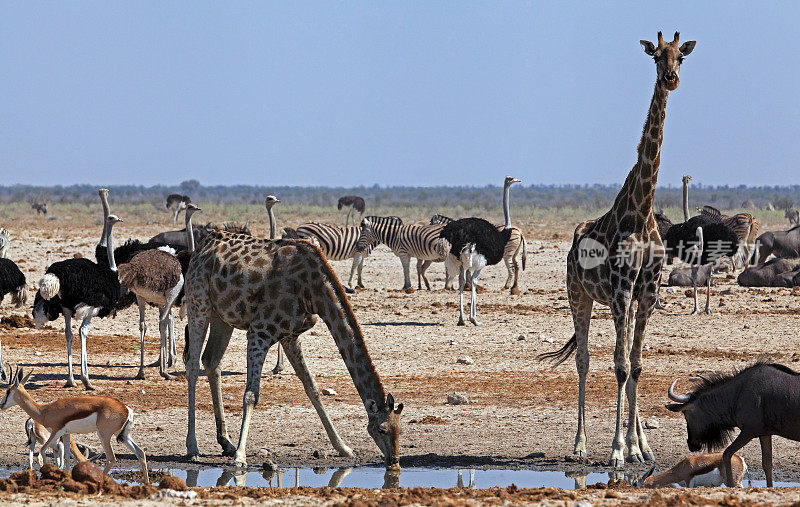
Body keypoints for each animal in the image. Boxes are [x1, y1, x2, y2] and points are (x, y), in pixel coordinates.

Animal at [184, 230, 404, 468]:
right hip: (198, 303)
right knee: (193, 364)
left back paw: (226, 442)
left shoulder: (291, 336)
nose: (394, 461)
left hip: (221, 316)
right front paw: (241, 457)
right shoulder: (259, 332)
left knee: (211, 361)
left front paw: (343, 447)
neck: (314, 290)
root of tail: (203, 246)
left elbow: (313, 388)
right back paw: (193, 447)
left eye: (400, 430)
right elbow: (251, 395)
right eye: (382, 429)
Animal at [540, 31, 696, 468]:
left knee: (621, 359)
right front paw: (615, 450)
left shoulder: (646, 292)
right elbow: (620, 367)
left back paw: (637, 443)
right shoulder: (622, 290)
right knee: (584, 361)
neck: (641, 211)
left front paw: (639, 446)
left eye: (681, 57)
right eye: (656, 56)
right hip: (580, 296)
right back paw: (580, 445)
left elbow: (637, 366)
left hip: (613, 302)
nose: (671, 78)